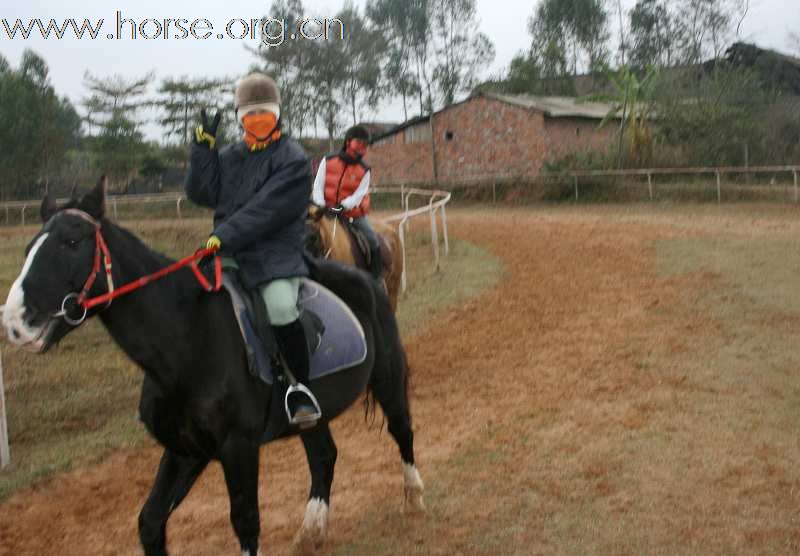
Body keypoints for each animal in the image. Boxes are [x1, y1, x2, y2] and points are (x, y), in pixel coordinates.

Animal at [1, 179, 424, 556]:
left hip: (388, 379)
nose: (15, 321)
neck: (188, 337)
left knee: (401, 430)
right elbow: (150, 523)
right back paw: (312, 531)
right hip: (311, 414)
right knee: (324, 456)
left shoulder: (238, 448)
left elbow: (245, 523)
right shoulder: (186, 449)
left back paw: (415, 498)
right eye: (29, 248)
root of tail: (366, 280)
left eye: (72, 242)